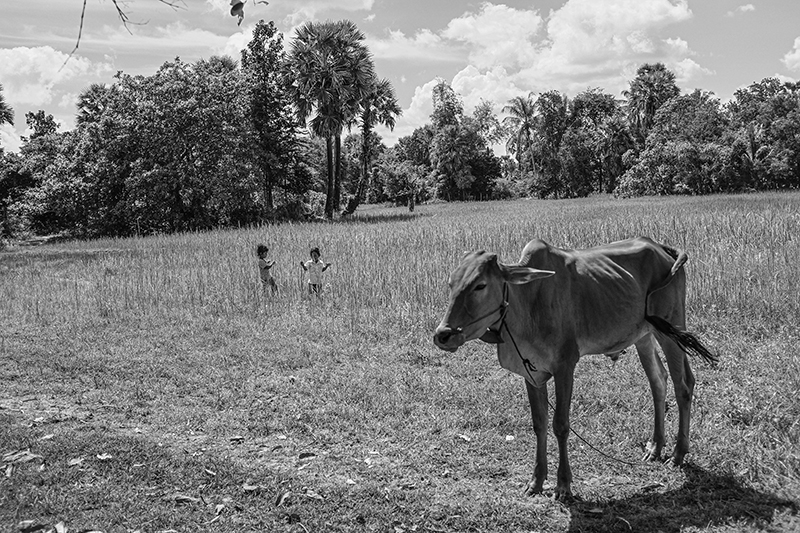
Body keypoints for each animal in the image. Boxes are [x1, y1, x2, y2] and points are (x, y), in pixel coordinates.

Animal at [434, 237, 716, 498]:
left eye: (480, 285)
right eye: (450, 284)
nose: (443, 335)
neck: (528, 302)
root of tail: (660, 247)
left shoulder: (565, 366)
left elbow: (560, 425)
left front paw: (563, 485)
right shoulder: (531, 372)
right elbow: (539, 424)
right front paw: (536, 481)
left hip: (671, 329)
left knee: (683, 385)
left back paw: (678, 453)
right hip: (644, 336)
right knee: (658, 381)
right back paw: (655, 447)